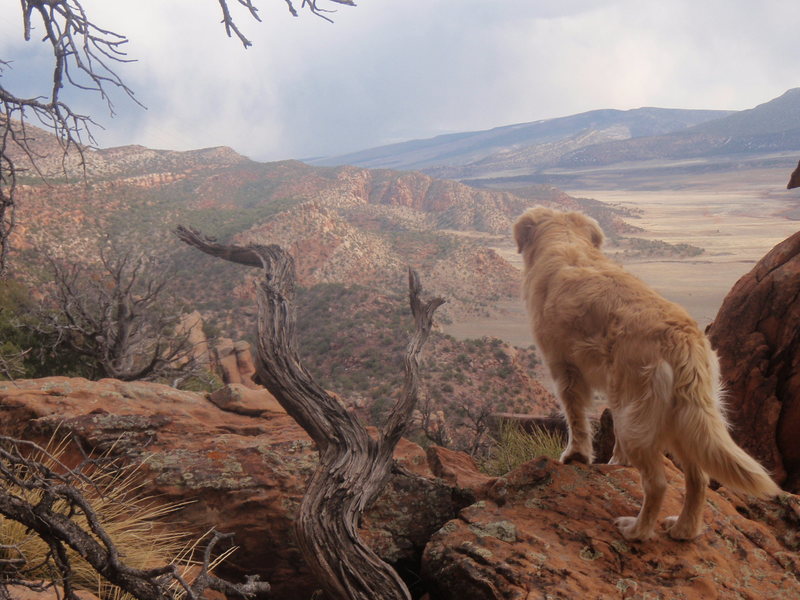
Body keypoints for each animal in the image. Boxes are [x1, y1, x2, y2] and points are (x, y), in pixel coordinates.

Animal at [512, 209, 780, 540]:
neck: (566, 240)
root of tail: (682, 339)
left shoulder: (566, 370)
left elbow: (576, 420)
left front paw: (576, 455)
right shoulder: (616, 394)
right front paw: (617, 461)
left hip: (642, 419)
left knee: (657, 484)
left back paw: (636, 530)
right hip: (682, 418)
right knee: (699, 479)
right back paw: (683, 529)